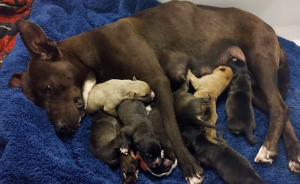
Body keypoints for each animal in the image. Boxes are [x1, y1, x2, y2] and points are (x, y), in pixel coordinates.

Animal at [8, 0, 300, 183]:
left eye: (48, 88)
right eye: (38, 103)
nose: (59, 129)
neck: (90, 51)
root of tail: (272, 30)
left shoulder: (158, 81)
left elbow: (171, 127)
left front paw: (189, 167)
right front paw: (128, 164)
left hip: (260, 61)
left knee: (280, 107)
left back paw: (267, 149)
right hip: (255, 84)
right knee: (282, 111)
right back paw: (293, 155)